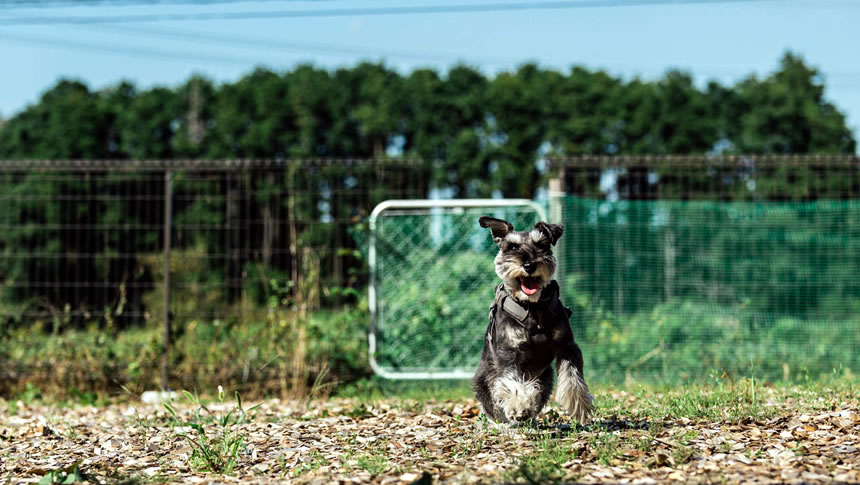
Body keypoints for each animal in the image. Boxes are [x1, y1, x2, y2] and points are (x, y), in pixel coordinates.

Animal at [474, 216, 596, 424]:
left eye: (541, 245)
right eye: (512, 247)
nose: (529, 266)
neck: (532, 307)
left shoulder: (567, 345)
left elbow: (573, 377)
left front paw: (580, 405)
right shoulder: (508, 353)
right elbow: (510, 382)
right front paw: (518, 405)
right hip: (483, 380)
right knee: (494, 406)